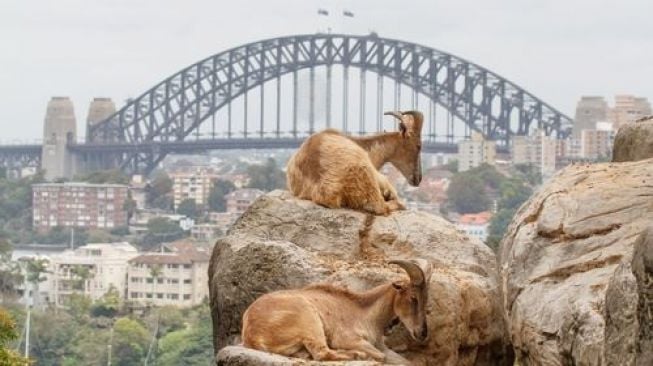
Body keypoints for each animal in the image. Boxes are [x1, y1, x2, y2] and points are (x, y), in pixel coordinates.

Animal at [242, 258, 430, 364]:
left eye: (426, 299)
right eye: (413, 298)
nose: (422, 333)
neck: (366, 313)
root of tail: (253, 335)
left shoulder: (381, 346)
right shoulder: (348, 339)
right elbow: (381, 357)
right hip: (309, 321)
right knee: (322, 353)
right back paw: (357, 355)